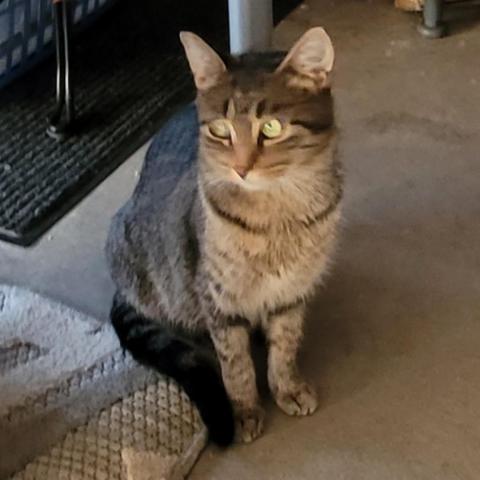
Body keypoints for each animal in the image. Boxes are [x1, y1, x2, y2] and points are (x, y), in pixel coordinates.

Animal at [107, 27, 344, 446]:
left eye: (271, 127)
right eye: (220, 130)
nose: (241, 168)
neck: (277, 217)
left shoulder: (292, 294)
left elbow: (285, 346)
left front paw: (287, 387)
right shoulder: (217, 300)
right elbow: (236, 367)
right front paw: (245, 411)